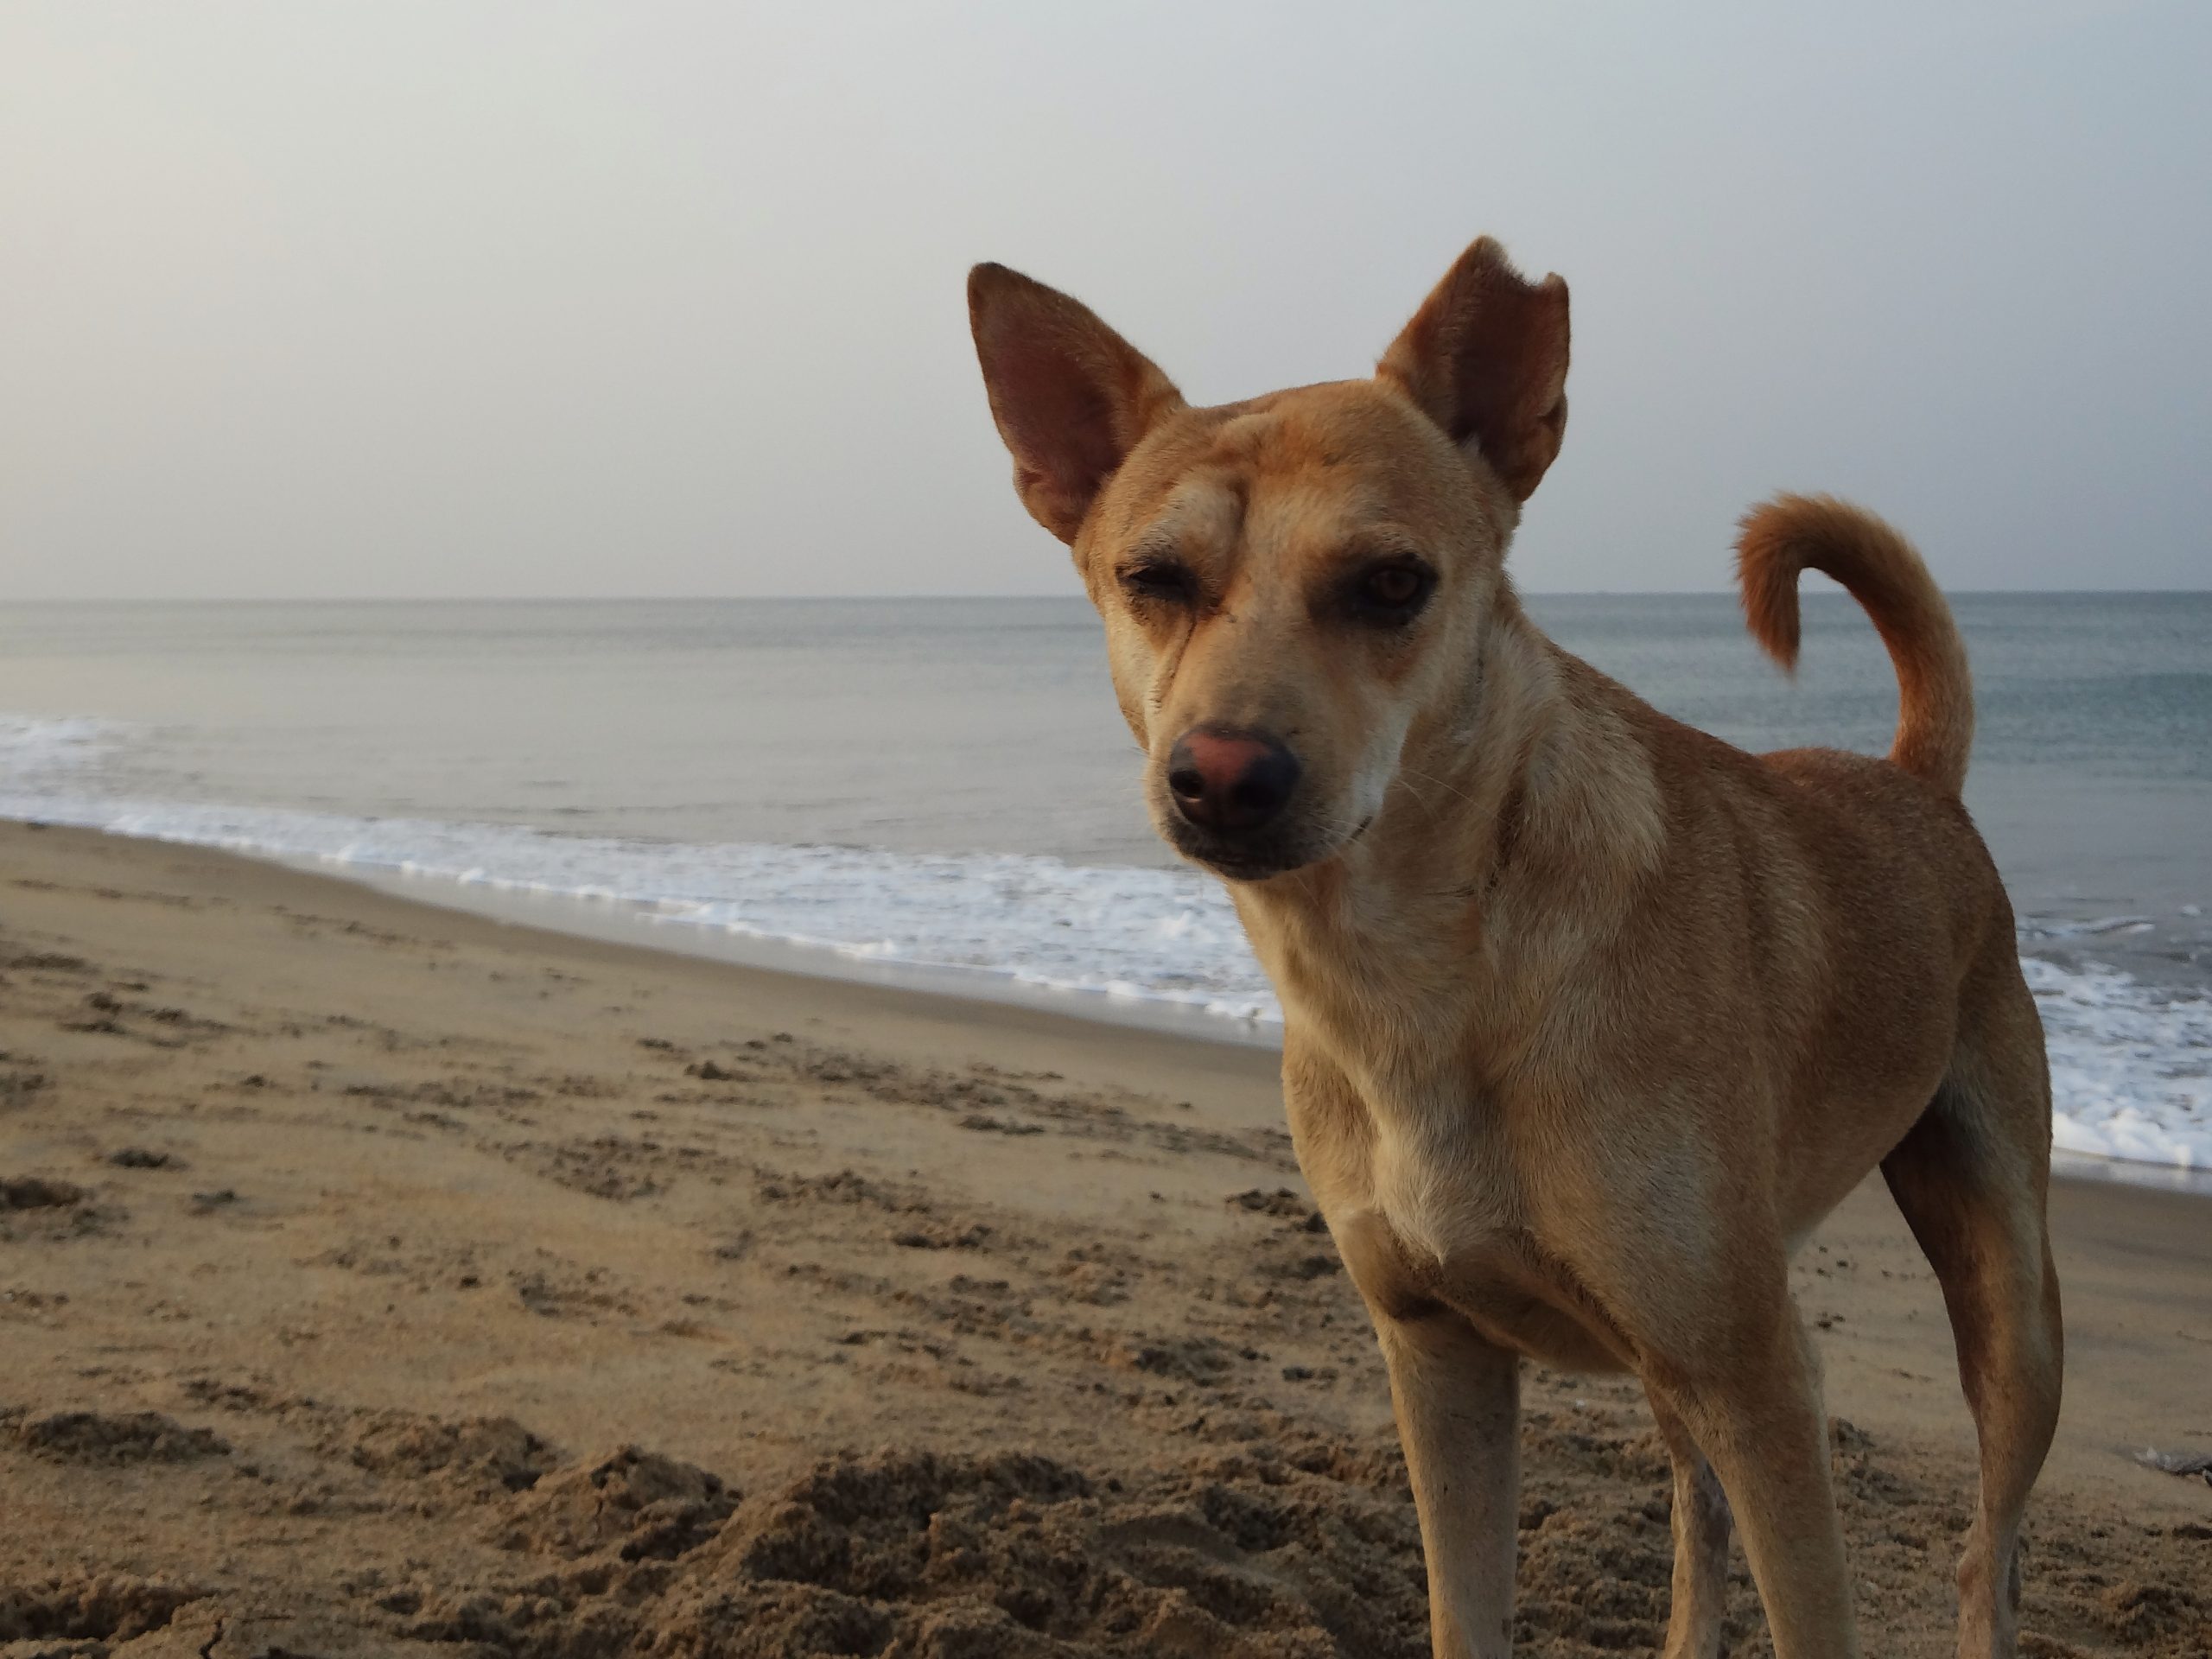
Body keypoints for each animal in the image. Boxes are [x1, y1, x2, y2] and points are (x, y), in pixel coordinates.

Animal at [969, 236, 2052, 1659]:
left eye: (1391, 583)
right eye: (1153, 581)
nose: (1221, 778)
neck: (1422, 974)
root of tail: (1916, 782)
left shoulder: (1757, 1374)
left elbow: (1812, 1603)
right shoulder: (1438, 1359)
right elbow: (1465, 1607)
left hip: (2004, 1306)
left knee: (1985, 1552)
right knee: (1695, 1512)